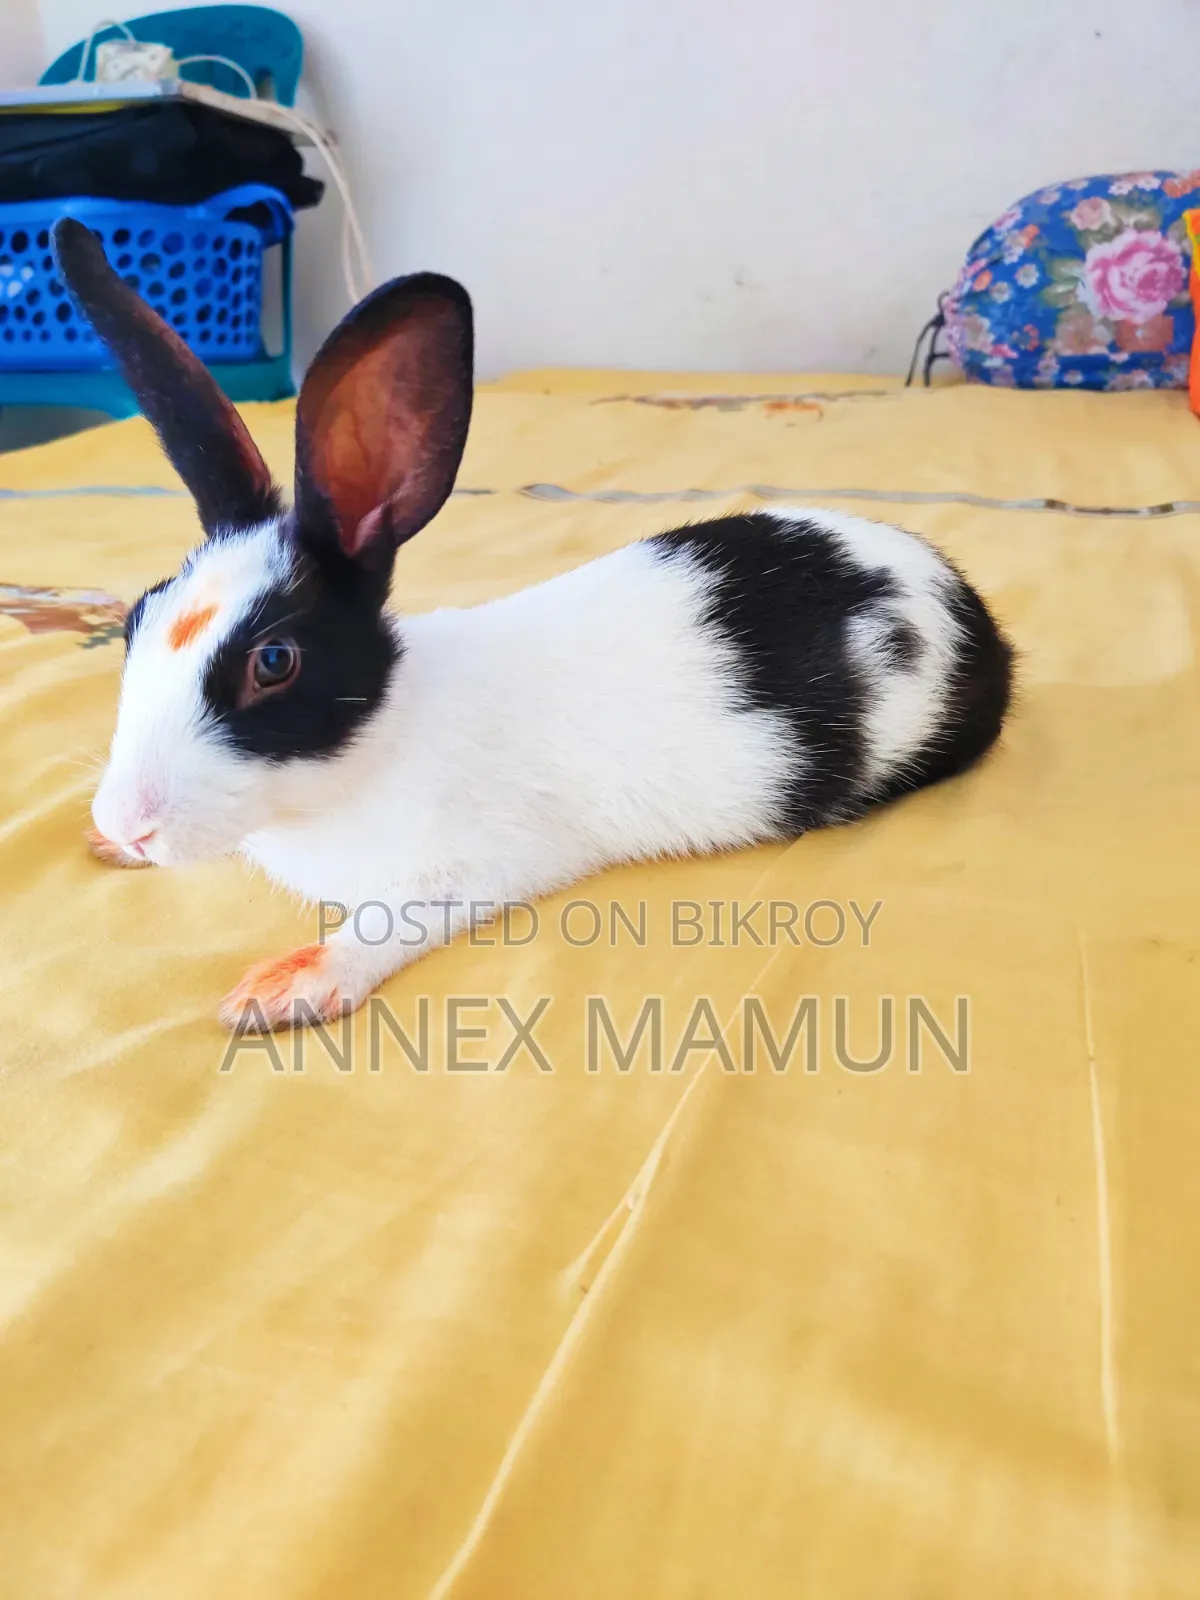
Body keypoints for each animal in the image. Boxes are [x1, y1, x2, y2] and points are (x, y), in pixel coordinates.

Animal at [54, 218, 1013, 1033]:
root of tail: (963, 597)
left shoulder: (471, 870)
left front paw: (281, 990)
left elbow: (384, 925)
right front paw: (106, 850)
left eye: (275, 661)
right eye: (137, 618)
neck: (378, 740)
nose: (127, 822)